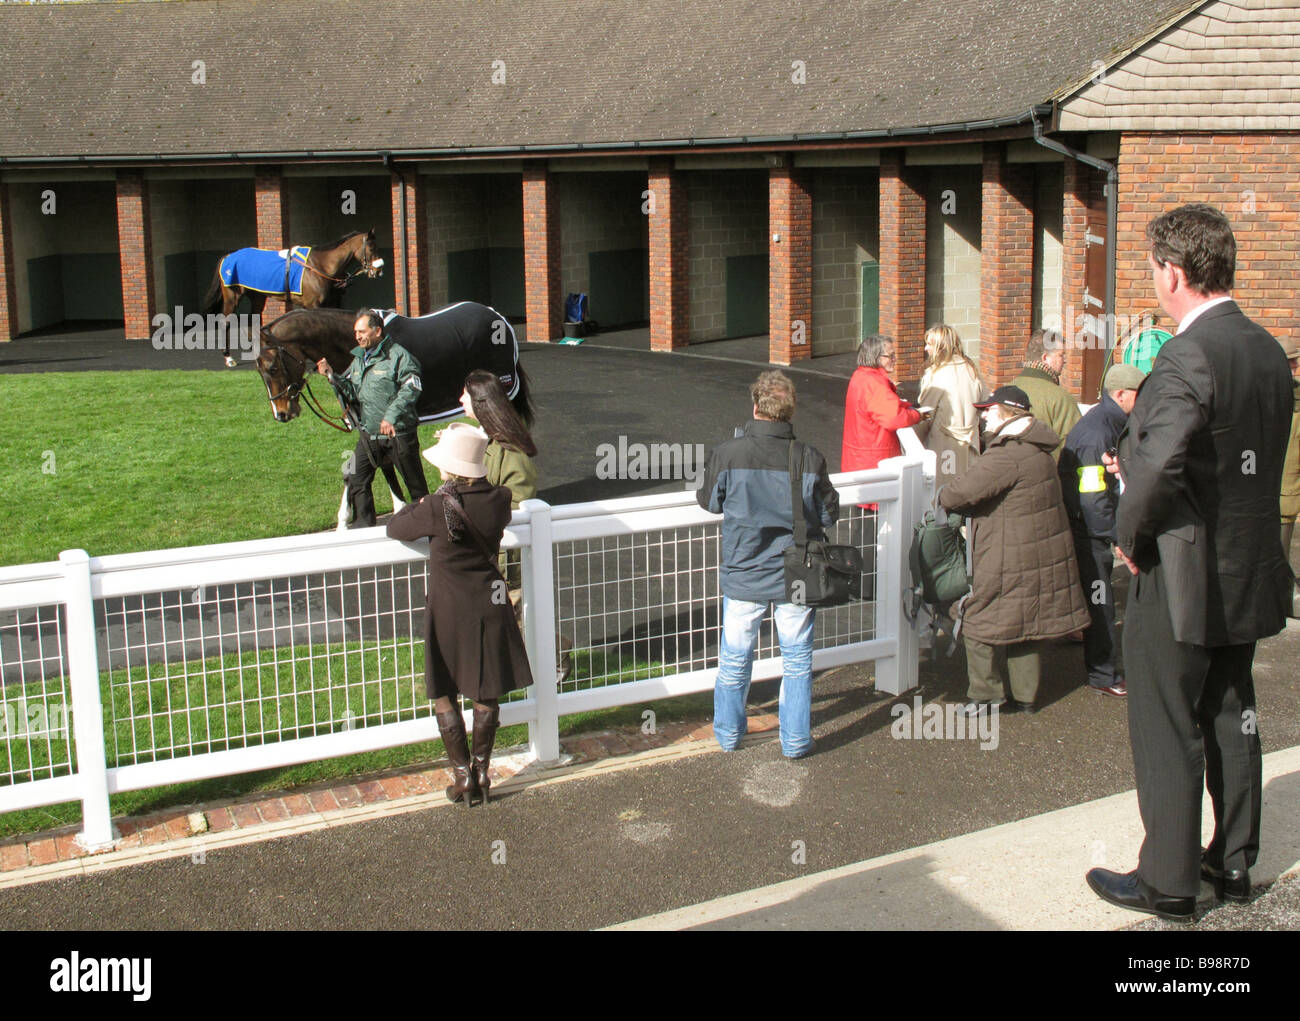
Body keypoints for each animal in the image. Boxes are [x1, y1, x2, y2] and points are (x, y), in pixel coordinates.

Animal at [197, 228, 379, 364]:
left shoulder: (335, 303)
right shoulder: (314, 305)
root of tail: (227, 257)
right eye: (371, 248)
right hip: (232, 296)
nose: (378, 269)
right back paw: (228, 357)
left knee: (251, 319)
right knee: (225, 322)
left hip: (257, 296)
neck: (321, 266)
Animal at [253, 303, 533, 530]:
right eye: (258, 371)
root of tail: (498, 317)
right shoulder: (368, 426)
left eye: (273, 367)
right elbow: (364, 467)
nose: (281, 413)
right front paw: (347, 520)